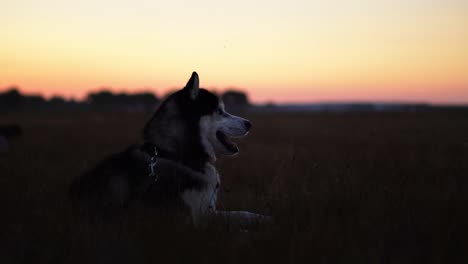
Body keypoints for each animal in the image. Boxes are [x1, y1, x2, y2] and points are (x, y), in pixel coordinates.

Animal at [69, 71, 266, 227]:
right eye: (219, 111)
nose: (249, 123)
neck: (176, 155)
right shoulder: (187, 219)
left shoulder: (206, 211)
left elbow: (242, 214)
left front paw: (265, 220)